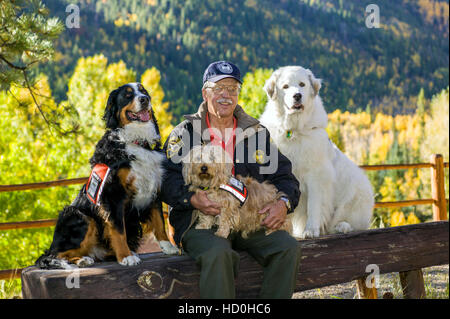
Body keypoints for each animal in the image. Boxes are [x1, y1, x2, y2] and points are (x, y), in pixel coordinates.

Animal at [36, 83, 179, 270]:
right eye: (128, 95)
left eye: (143, 91)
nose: (145, 99)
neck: (135, 141)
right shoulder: (113, 194)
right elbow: (118, 230)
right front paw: (125, 256)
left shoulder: (153, 187)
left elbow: (159, 222)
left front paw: (168, 247)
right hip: (80, 215)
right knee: (54, 255)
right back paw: (81, 260)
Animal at [258, 66, 374, 239]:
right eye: (285, 86)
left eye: (302, 84)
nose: (297, 95)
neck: (294, 131)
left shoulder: (317, 176)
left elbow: (314, 204)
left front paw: (311, 230)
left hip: (355, 194)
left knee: (352, 222)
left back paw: (341, 227)